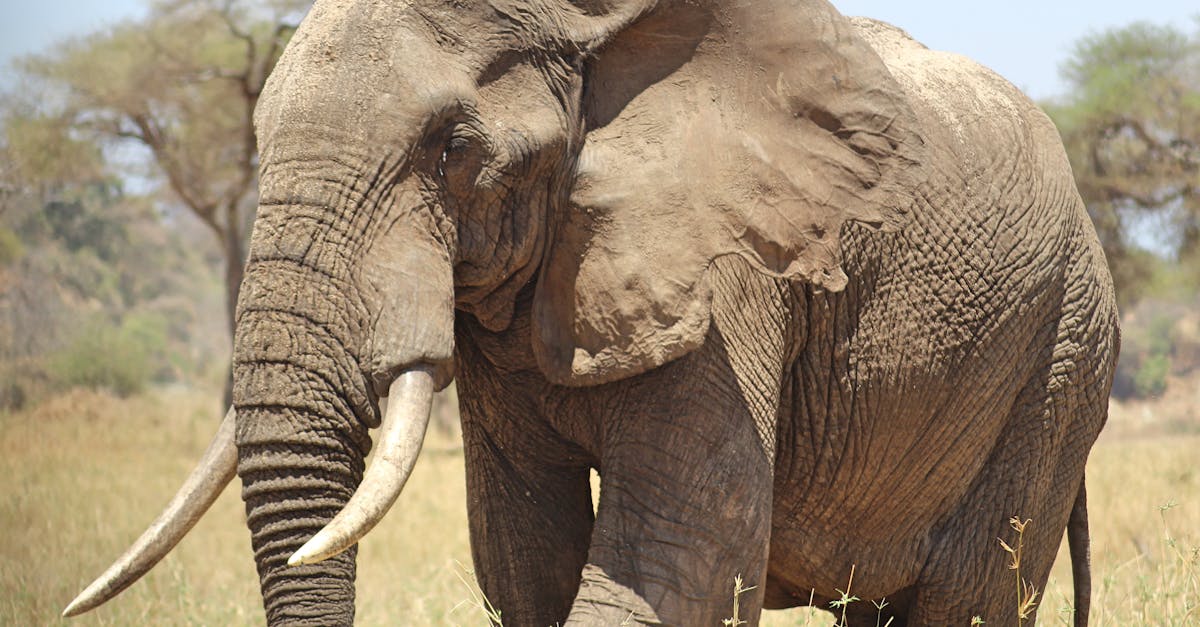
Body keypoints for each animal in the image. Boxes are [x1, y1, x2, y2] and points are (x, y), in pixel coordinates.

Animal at [65, 1, 1113, 624]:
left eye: (451, 148)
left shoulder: (727, 269)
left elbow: (683, 547)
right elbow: (526, 551)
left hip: (1056, 364)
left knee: (970, 595)